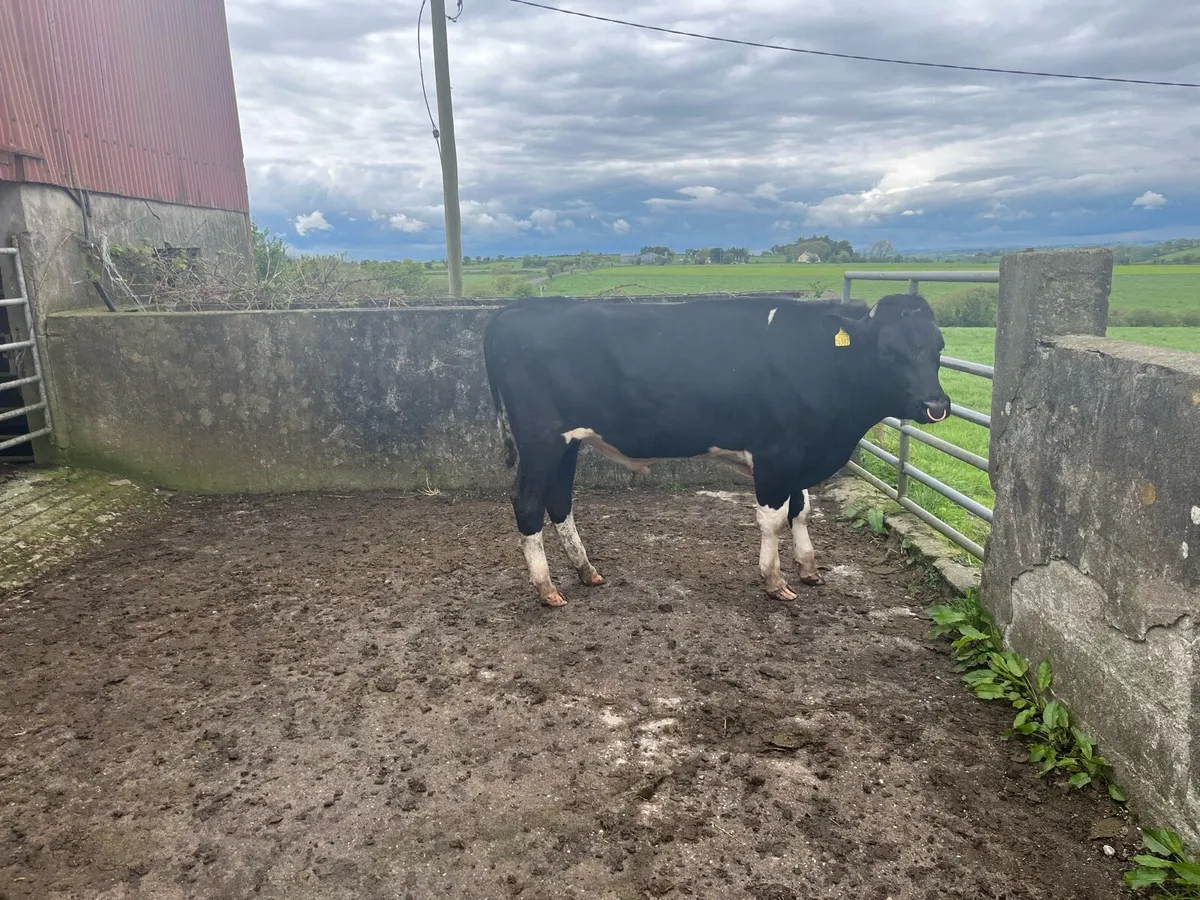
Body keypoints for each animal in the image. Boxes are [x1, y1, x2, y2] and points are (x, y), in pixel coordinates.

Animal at [482, 292, 951, 607]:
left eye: (939, 347)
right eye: (888, 352)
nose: (937, 406)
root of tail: (517, 309)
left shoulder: (799, 455)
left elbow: (802, 509)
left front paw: (809, 568)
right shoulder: (775, 454)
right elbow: (774, 518)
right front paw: (774, 580)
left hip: (568, 443)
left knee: (559, 501)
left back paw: (586, 571)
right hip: (542, 441)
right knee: (527, 503)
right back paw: (546, 587)